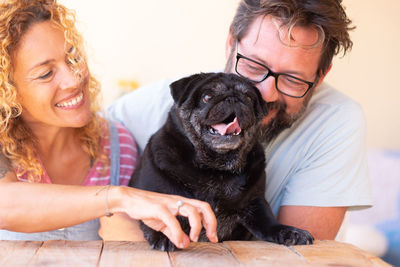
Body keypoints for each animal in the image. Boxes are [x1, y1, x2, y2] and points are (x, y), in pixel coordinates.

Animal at [130, 71, 314, 251]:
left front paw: (288, 231)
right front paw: (164, 233)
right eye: (207, 96)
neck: (215, 168)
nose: (233, 98)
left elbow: (268, 221)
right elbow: (158, 214)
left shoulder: (255, 202)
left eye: (248, 97)